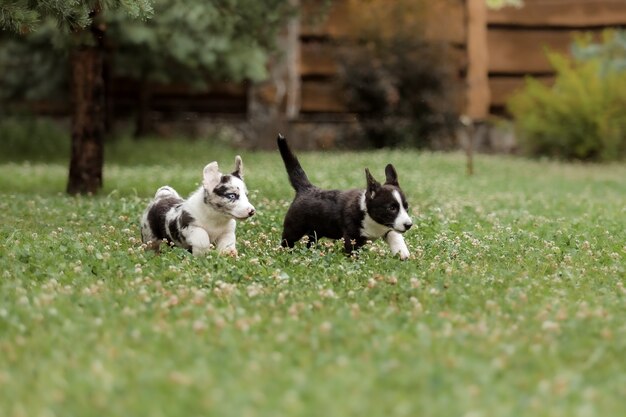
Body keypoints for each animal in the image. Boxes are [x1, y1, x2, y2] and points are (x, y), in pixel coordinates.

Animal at [276, 133, 412, 258]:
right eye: (391, 208)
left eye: (406, 207)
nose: (409, 225)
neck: (370, 217)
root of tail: (307, 188)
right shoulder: (352, 237)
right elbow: (353, 252)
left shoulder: (388, 227)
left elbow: (395, 234)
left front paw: (402, 252)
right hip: (294, 228)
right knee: (287, 241)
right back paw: (284, 252)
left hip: (316, 231)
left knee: (310, 242)